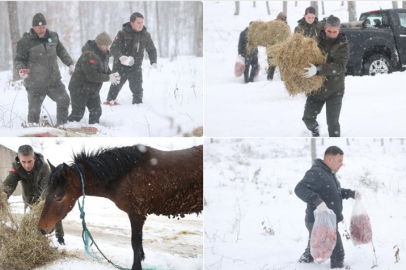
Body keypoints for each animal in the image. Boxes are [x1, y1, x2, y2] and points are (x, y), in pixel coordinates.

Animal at [38, 144, 203, 270]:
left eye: (59, 197)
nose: (42, 228)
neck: (126, 176)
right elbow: (139, 245)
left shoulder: (137, 214)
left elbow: (135, 243)